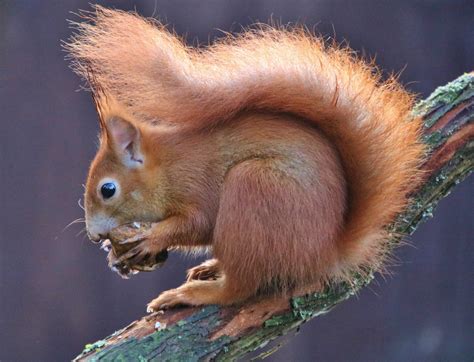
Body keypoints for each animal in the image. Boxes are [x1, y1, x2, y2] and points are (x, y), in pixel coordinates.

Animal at [65, 4, 424, 312]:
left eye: (107, 190)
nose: (94, 235)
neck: (167, 166)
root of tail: (324, 254)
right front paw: (113, 253)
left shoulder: (196, 184)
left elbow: (197, 223)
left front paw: (152, 237)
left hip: (252, 189)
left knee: (238, 288)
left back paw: (196, 293)